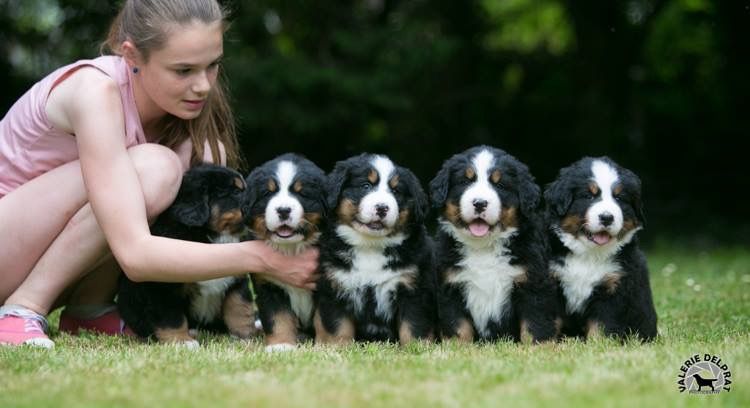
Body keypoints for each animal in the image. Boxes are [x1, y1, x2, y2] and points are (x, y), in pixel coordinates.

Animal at [117, 163, 258, 348]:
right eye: (235, 192)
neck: (215, 238)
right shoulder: (162, 286)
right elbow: (171, 317)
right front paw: (181, 341)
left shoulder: (237, 280)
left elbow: (239, 308)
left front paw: (245, 338)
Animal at [247, 153, 328, 350]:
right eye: (268, 193)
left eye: (302, 193)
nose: (283, 210)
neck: (291, 249)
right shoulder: (268, 285)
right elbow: (278, 318)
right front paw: (280, 345)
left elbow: (324, 318)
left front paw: (325, 346)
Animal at [316, 153, 434, 344]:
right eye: (366, 186)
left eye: (396, 191)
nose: (382, 208)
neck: (370, 246)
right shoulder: (335, 286)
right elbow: (338, 328)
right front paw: (339, 347)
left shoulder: (413, 288)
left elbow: (413, 327)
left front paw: (414, 348)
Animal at [428, 145, 564, 342]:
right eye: (465, 181)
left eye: (499, 185)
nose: (479, 203)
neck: (483, 247)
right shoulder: (451, 285)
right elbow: (459, 327)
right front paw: (457, 347)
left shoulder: (532, 283)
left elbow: (534, 324)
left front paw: (539, 346)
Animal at [548, 156, 656, 342]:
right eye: (588, 196)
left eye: (619, 198)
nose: (607, 217)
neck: (589, 255)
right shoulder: (553, 282)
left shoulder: (614, 287)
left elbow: (602, 326)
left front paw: (599, 345)